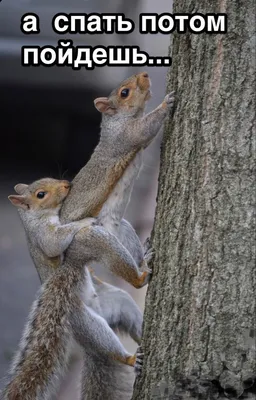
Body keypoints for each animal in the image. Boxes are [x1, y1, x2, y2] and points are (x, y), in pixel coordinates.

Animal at [3, 179, 144, 400]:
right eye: (41, 194)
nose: (66, 184)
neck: (33, 217)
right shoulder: (43, 234)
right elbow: (55, 243)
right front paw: (83, 222)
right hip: (83, 321)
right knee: (108, 347)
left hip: (117, 302)